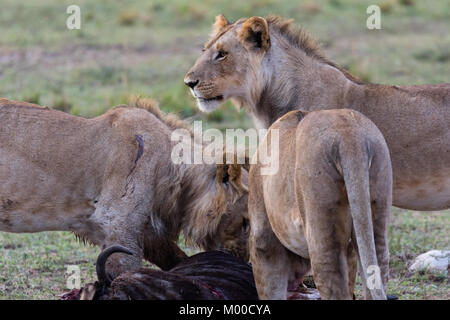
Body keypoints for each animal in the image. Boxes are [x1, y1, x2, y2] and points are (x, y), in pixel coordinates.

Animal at [0, 98, 250, 278]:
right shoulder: (117, 222)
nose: (245, 260)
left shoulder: (143, 230)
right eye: (246, 222)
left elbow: (180, 260)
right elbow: (124, 271)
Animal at [248, 109, 392, 298]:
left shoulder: (263, 235)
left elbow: (270, 287)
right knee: (377, 267)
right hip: (378, 190)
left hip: (320, 210)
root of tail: (349, 136)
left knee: (330, 276)